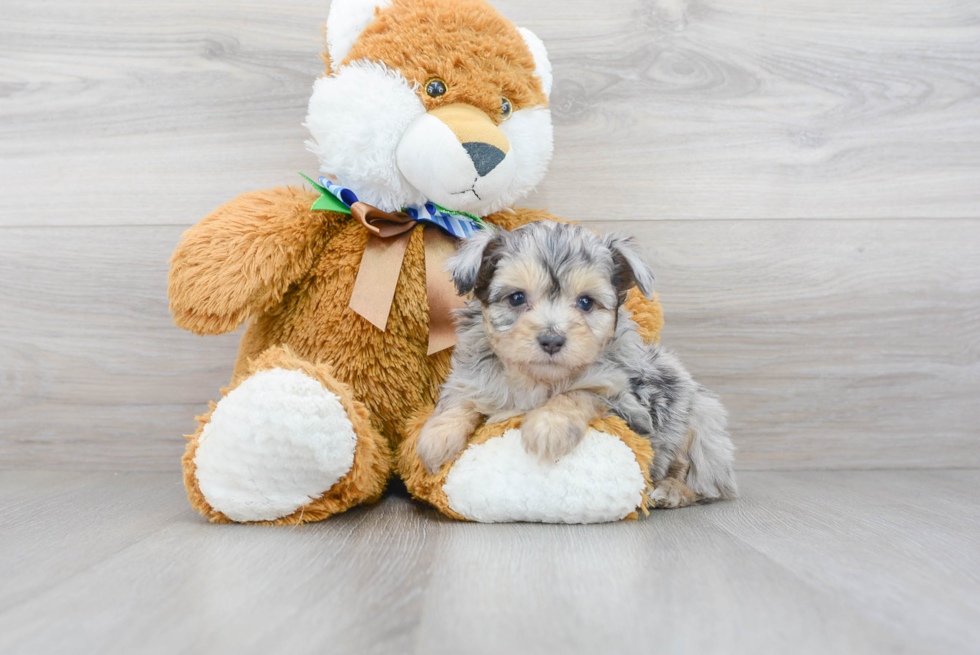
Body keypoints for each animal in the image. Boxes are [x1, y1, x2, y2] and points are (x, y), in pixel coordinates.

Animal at [418, 220, 740, 508]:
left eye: (586, 302)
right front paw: (437, 436)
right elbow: (461, 398)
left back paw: (670, 491)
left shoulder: (627, 402)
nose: (551, 340)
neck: (538, 380)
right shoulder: (474, 378)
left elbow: (577, 393)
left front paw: (548, 426)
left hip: (700, 425)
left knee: (698, 478)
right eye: (517, 298)